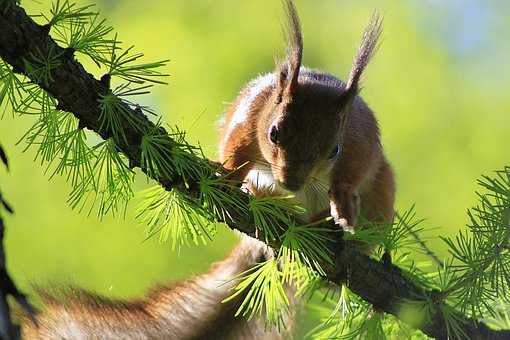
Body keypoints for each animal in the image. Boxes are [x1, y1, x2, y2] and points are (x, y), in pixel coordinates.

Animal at [20, 1, 394, 338]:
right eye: (274, 132)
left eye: (334, 150)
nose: (291, 181)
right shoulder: (251, 114)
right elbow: (235, 147)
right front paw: (228, 176)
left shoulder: (359, 143)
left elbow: (353, 173)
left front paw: (342, 204)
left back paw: (327, 227)